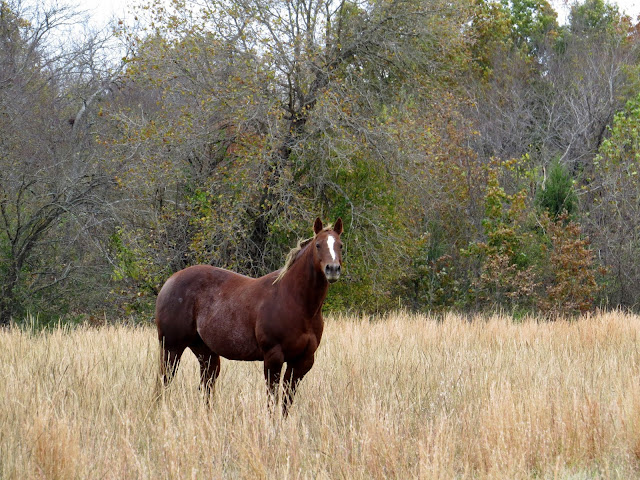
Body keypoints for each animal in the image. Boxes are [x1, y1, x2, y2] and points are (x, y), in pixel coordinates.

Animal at [154, 217, 344, 414]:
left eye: (340, 245)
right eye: (318, 245)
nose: (333, 269)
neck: (295, 301)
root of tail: (170, 281)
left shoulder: (302, 361)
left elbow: (286, 401)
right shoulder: (273, 357)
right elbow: (272, 399)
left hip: (205, 352)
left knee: (206, 386)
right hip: (171, 348)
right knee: (164, 382)